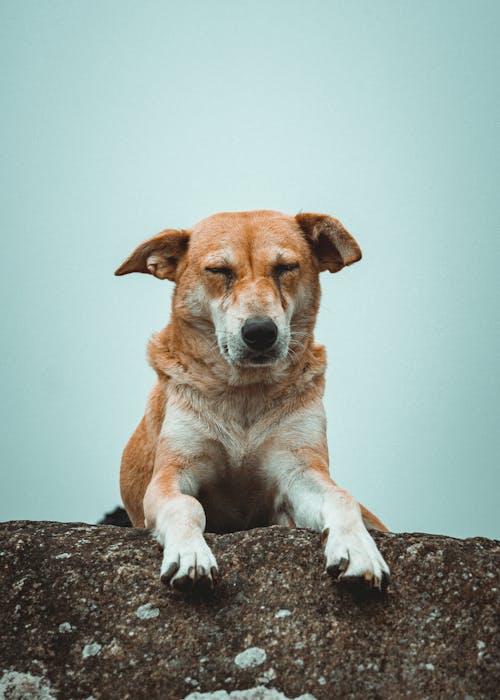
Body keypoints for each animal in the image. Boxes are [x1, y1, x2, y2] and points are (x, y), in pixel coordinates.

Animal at [115, 211, 388, 592]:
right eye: (219, 271)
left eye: (286, 267)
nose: (260, 332)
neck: (245, 394)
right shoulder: (171, 472)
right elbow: (186, 507)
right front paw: (191, 554)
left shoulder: (298, 468)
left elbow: (341, 497)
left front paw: (358, 550)